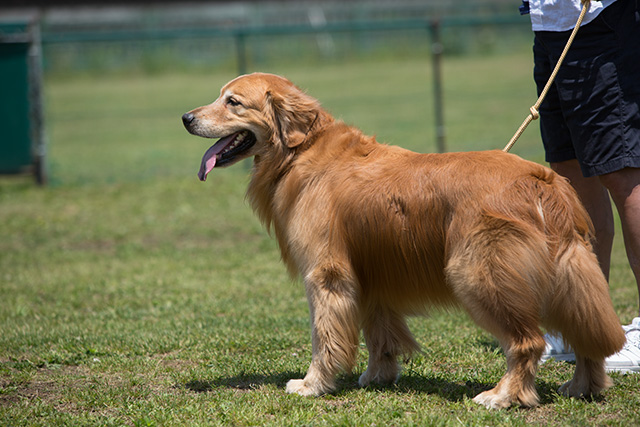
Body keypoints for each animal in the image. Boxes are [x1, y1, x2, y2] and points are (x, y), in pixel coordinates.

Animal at [181, 72, 624, 408]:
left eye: (233, 102)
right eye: (220, 96)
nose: (185, 117)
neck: (301, 152)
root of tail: (543, 180)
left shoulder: (327, 274)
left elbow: (325, 337)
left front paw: (312, 384)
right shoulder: (373, 272)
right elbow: (380, 334)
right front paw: (378, 376)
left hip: (477, 274)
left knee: (527, 342)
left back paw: (503, 395)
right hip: (570, 274)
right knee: (587, 333)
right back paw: (583, 386)